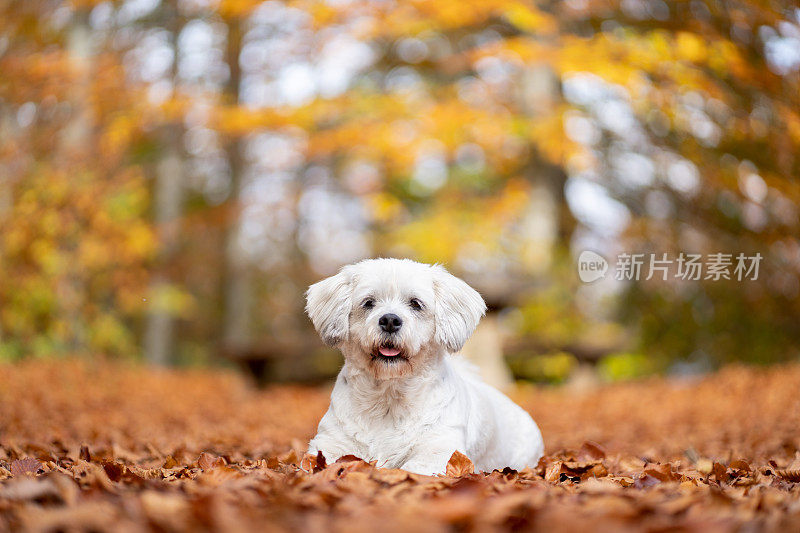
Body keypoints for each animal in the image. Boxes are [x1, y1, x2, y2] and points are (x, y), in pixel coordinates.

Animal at [304, 256, 544, 474]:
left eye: (415, 303)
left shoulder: (440, 450)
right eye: (369, 302)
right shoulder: (329, 443)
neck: (389, 399)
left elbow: (411, 469)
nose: (390, 320)